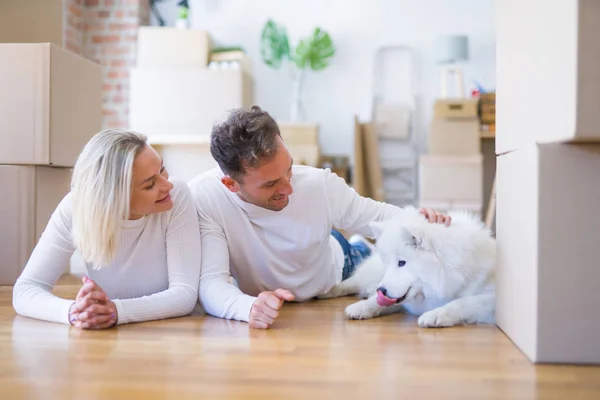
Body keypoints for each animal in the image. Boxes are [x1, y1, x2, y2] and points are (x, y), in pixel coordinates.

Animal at [324, 206, 496, 328]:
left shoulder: (490, 299)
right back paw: (331, 290)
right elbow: (378, 302)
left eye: (401, 263)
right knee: (356, 280)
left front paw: (435, 315)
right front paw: (362, 307)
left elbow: (462, 302)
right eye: (388, 263)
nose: (382, 290)